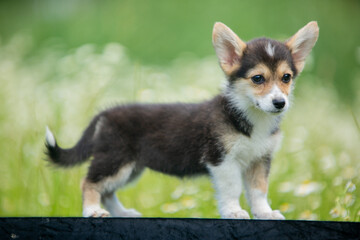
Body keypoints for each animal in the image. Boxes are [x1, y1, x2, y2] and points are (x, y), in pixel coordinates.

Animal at [44, 22, 318, 219]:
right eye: (258, 79)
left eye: (286, 77)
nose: (280, 103)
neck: (250, 116)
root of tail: (104, 114)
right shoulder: (222, 161)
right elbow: (232, 189)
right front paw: (234, 211)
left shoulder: (260, 160)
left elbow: (259, 191)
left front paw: (265, 213)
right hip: (116, 160)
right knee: (89, 183)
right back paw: (92, 211)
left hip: (130, 168)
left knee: (107, 191)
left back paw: (122, 213)